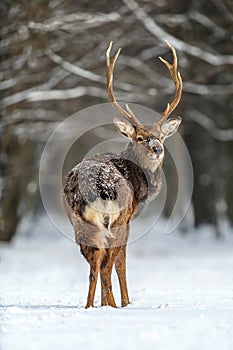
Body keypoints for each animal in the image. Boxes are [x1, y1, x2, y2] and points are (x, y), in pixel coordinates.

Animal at [63, 41, 182, 308]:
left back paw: (91, 306)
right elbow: (121, 264)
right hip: (118, 220)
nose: (157, 148)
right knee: (108, 264)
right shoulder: (128, 219)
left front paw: (106, 303)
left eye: (161, 136)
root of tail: (102, 186)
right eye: (140, 137)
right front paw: (127, 302)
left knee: (94, 263)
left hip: (81, 222)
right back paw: (115, 306)